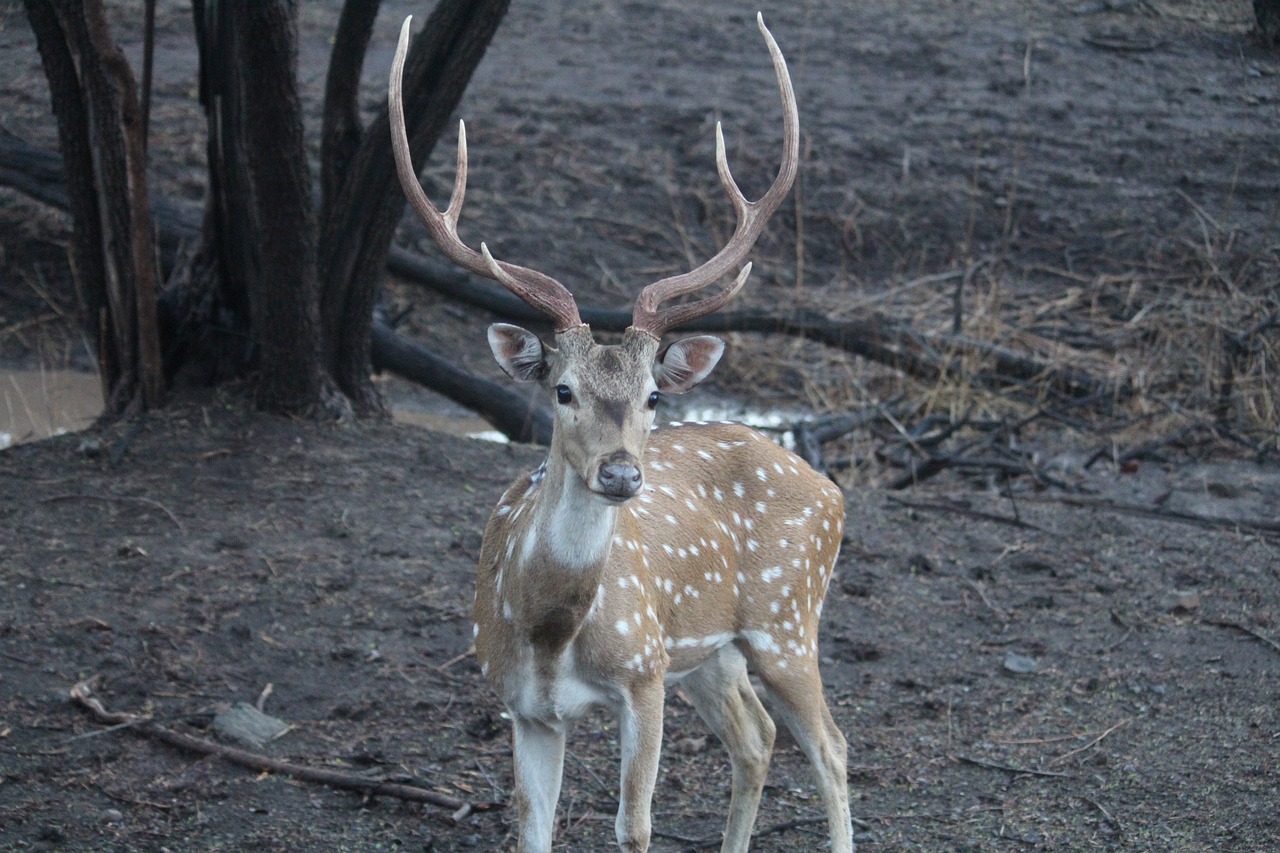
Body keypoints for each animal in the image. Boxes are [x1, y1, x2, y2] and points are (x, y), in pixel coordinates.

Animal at [389, 13, 849, 850]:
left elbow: (633, 826)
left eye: (654, 393)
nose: (622, 474)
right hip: (711, 651)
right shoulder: (522, 704)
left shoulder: (642, 675)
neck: (550, 629)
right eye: (561, 388)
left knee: (831, 744)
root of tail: (830, 488)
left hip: (787, 619)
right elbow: (531, 830)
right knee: (757, 736)